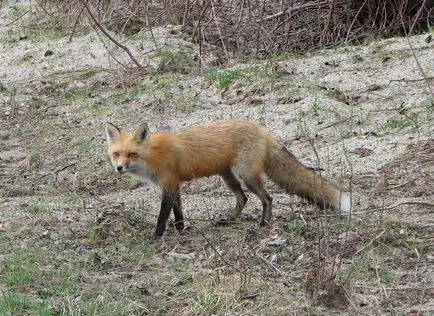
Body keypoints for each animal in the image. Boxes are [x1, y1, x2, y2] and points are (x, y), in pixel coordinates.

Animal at [106, 121, 352, 237]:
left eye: (131, 154)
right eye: (116, 153)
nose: (119, 168)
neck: (152, 156)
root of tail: (262, 129)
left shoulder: (169, 184)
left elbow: (162, 216)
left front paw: (156, 236)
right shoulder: (174, 185)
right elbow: (178, 212)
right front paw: (181, 229)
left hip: (246, 176)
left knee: (267, 198)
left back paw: (264, 223)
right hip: (228, 177)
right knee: (242, 199)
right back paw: (229, 220)